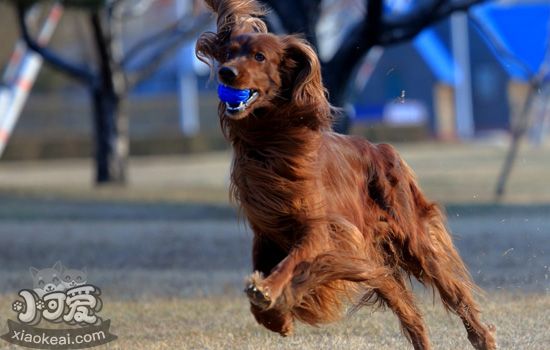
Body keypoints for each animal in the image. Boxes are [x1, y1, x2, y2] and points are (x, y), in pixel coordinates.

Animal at [196, 1, 498, 348]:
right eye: (229, 53)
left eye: (260, 56)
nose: (226, 72)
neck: (272, 143)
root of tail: (384, 149)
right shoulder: (268, 233)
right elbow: (278, 280)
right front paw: (276, 315)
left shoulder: (321, 230)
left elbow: (295, 264)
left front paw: (270, 292)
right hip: (380, 263)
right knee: (411, 316)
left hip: (417, 245)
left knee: (457, 296)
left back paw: (483, 337)